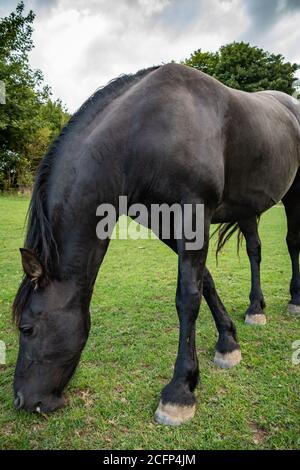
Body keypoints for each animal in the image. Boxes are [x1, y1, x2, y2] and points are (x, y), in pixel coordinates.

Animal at [12, 65, 300, 426]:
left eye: (27, 328)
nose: (21, 400)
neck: (145, 132)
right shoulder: (165, 224)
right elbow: (205, 281)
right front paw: (228, 343)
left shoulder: (194, 213)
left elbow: (187, 298)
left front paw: (180, 390)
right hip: (248, 209)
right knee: (255, 251)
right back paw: (255, 308)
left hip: (294, 195)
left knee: (292, 244)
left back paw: (295, 299)